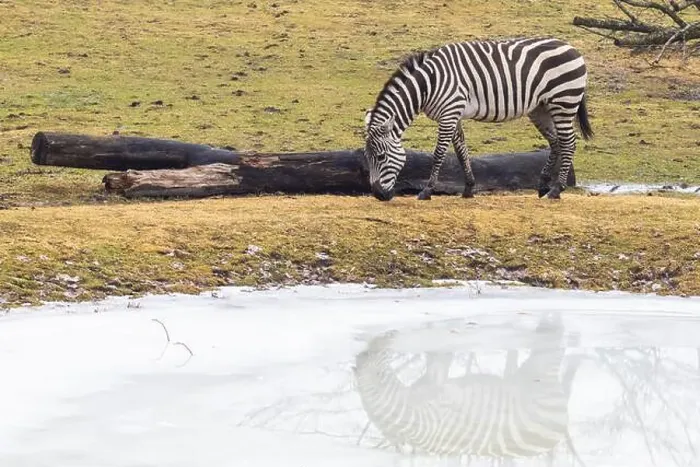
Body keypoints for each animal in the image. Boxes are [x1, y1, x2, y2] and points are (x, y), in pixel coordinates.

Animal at [363, 36, 593, 202]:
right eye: (367, 157)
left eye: (381, 157)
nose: (378, 195)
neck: (428, 85)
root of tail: (572, 47)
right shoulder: (453, 114)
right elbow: (461, 151)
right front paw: (468, 189)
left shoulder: (449, 113)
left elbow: (439, 154)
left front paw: (427, 191)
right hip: (540, 108)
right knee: (555, 142)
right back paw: (543, 186)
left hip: (563, 101)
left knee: (568, 143)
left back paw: (556, 190)